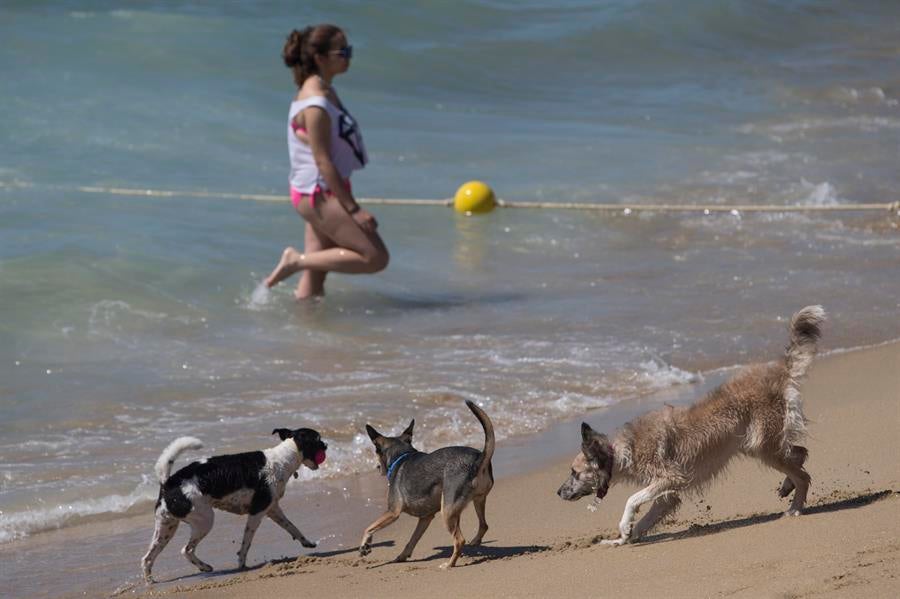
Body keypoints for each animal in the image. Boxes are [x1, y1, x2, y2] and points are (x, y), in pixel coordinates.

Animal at [139, 428, 326, 584]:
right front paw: (241, 564)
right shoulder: (257, 512)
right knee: (186, 550)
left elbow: (292, 527)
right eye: (317, 439)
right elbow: (246, 543)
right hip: (204, 521)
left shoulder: (273, 509)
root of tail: (168, 482)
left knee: (147, 558)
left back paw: (150, 582)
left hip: (166, 528)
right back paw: (204, 567)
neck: (284, 458)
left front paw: (307, 542)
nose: (327, 445)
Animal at [358, 400, 496, 568]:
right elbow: (412, 539)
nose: (377, 467)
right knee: (483, 525)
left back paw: (449, 564)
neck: (402, 455)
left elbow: (368, 528)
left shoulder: (393, 512)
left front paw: (365, 545)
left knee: (459, 540)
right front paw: (402, 556)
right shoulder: (425, 517)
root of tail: (478, 459)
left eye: (376, 452)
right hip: (476, 501)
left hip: (447, 511)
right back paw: (475, 542)